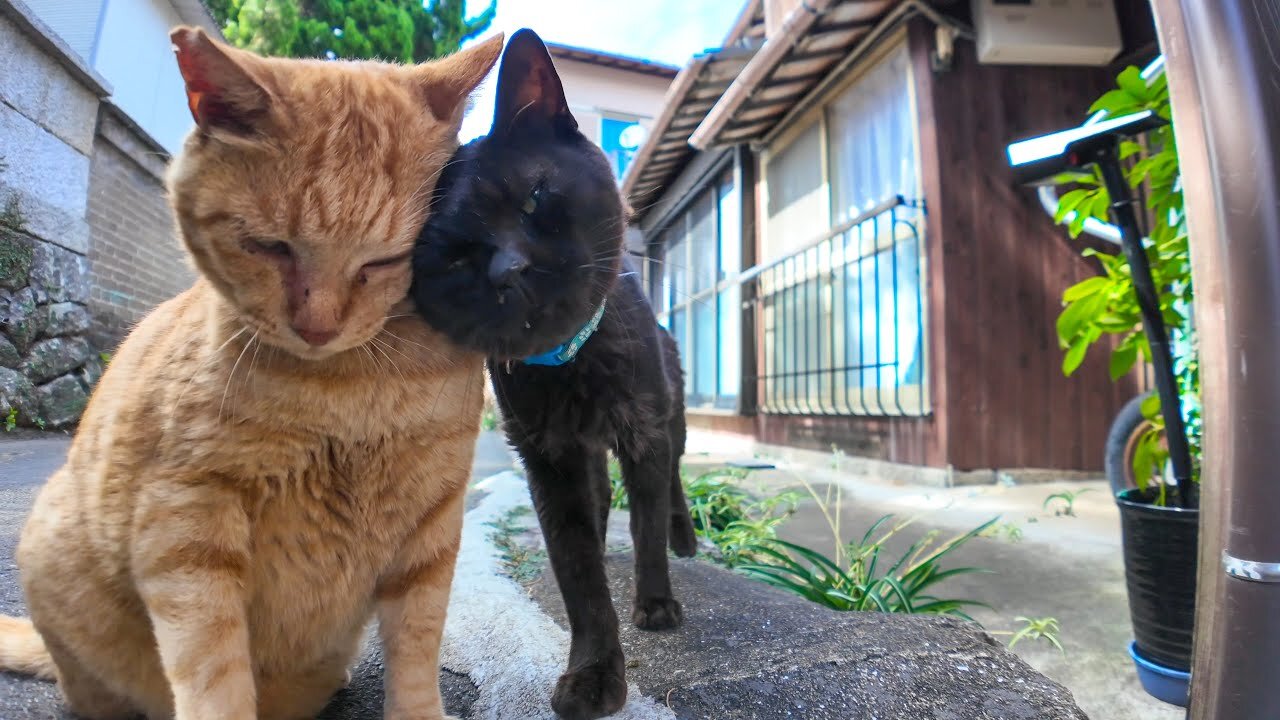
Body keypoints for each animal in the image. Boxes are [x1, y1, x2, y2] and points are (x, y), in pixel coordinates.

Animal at [0, 26, 504, 717]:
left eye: (385, 260)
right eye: (270, 247)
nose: (318, 327)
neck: (346, 389)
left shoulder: (431, 524)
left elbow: (418, 650)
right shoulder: (187, 521)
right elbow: (213, 668)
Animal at [409, 30, 696, 717]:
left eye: (536, 197)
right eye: (458, 256)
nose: (508, 269)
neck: (574, 367)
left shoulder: (644, 432)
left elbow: (645, 526)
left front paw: (655, 602)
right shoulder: (548, 459)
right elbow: (578, 573)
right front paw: (595, 674)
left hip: (672, 419)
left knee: (672, 485)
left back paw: (684, 540)